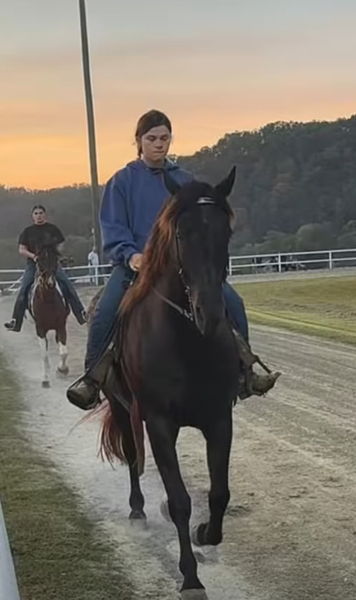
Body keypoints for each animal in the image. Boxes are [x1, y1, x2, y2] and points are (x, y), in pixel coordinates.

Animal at [32, 246, 70, 386]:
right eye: (40, 261)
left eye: (55, 261)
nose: (50, 283)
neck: (48, 300)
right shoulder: (40, 328)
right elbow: (44, 354)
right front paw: (45, 380)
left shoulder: (61, 325)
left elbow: (64, 352)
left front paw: (62, 369)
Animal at [98, 170, 241, 600]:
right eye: (181, 233)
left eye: (225, 232)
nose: (209, 313)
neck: (187, 339)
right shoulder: (159, 423)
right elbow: (179, 500)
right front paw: (190, 578)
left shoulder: (219, 418)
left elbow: (219, 493)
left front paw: (206, 533)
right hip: (124, 410)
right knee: (132, 458)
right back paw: (138, 508)